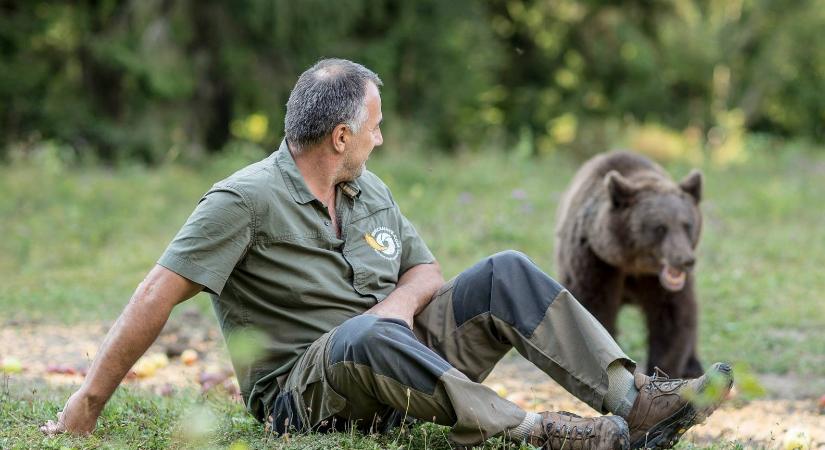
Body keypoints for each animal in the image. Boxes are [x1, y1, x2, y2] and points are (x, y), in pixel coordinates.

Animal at [552, 150, 700, 376]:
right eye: (660, 227)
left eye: (687, 225)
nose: (684, 260)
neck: (631, 263)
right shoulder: (596, 261)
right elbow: (595, 310)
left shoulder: (657, 281)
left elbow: (672, 319)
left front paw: (663, 371)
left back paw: (693, 366)